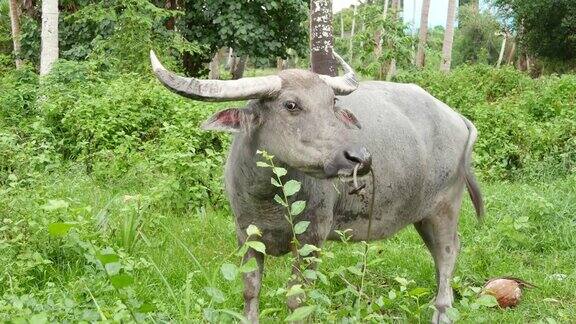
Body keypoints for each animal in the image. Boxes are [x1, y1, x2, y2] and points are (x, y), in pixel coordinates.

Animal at [148, 50, 482, 324]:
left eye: (332, 103)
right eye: (291, 104)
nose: (361, 157)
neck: (270, 198)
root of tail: (457, 118)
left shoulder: (312, 239)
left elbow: (298, 301)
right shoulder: (246, 234)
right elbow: (250, 290)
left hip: (446, 207)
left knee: (448, 253)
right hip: (423, 217)